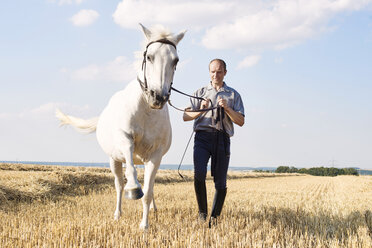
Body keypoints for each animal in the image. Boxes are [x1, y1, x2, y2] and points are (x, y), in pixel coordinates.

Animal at [56, 24, 185, 230]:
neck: (146, 110)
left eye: (176, 60)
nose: (157, 97)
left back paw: (154, 209)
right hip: (113, 159)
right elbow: (130, 174)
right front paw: (134, 189)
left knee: (150, 186)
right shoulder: (125, 141)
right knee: (118, 184)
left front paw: (144, 225)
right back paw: (118, 213)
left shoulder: (155, 156)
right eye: (149, 57)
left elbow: (148, 192)